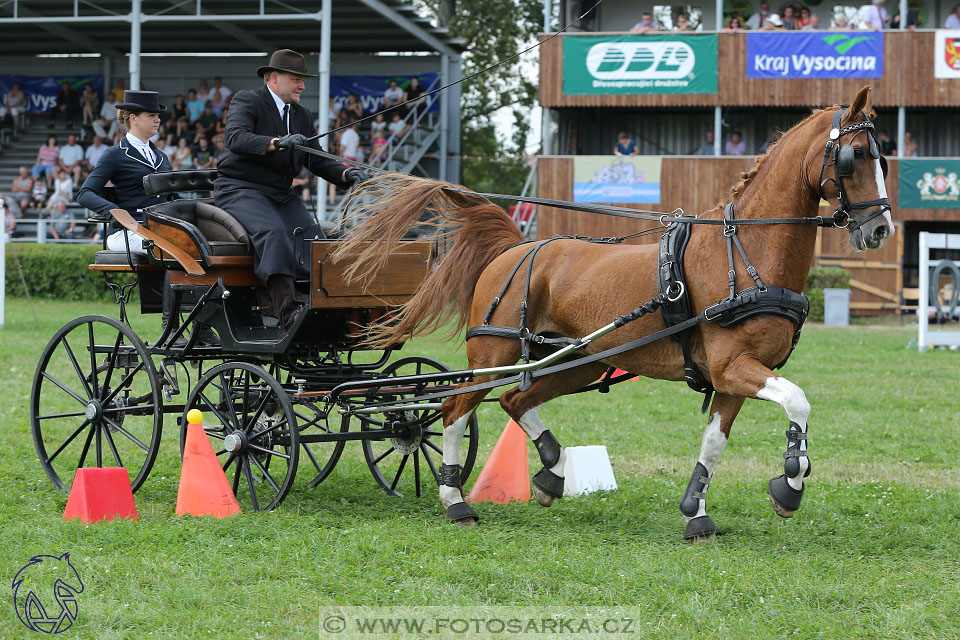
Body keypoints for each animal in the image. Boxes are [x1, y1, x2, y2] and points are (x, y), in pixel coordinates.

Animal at [336, 87, 892, 540]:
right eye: (856, 156)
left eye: (882, 156)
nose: (881, 229)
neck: (744, 253)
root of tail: (515, 247)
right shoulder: (734, 366)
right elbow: (798, 402)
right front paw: (791, 480)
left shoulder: (734, 377)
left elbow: (714, 444)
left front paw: (698, 513)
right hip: (494, 354)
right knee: (455, 409)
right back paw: (456, 502)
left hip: (574, 360)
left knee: (516, 402)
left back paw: (552, 473)